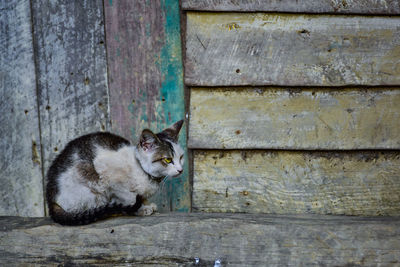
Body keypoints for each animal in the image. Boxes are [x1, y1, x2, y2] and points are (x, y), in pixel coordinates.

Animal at [46, 121, 184, 226]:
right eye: (168, 159)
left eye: (181, 157)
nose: (181, 170)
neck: (141, 169)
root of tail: (51, 201)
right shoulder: (108, 176)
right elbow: (129, 197)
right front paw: (141, 209)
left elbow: (141, 197)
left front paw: (146, 204)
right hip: (91, 189)